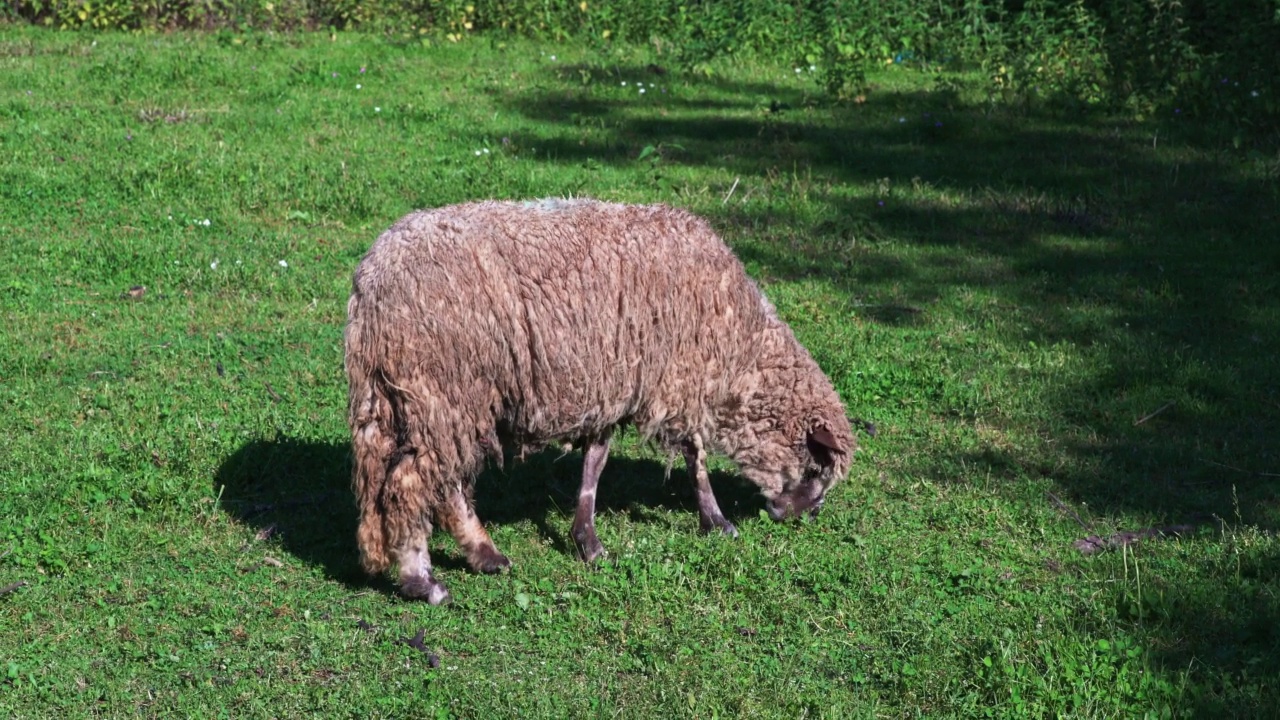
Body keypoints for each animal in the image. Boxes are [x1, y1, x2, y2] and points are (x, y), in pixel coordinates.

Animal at [345, 197, 855, 599]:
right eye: (818, 470)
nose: (802, 517)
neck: (742, 350)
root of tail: (372, 286)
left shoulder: (612, 388)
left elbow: (595, 461)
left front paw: (585, 539)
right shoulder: (676, 379)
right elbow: (695, 453)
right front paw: (716, 520)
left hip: (410, 399)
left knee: (441, 483)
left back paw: (484, 554)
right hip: (442, 387)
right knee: (411, 482)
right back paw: (422, 580)